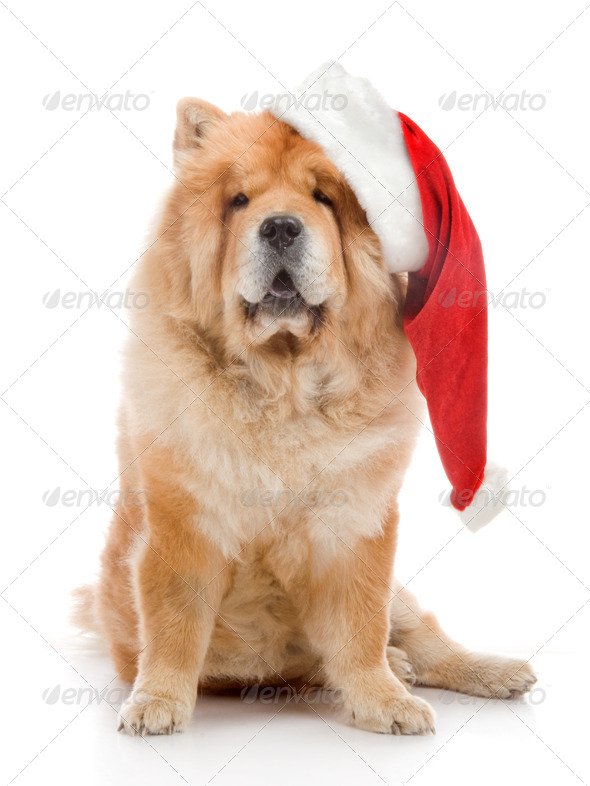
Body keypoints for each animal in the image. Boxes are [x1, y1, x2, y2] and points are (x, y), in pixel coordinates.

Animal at [74, 98, 536, 736]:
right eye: (239, 200)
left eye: (323, 198)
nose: (280, 226)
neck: (283, 383)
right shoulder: (183, 523)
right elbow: (172, 627)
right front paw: (156, 703)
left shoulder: (356, 524)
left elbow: (359, 628)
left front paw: (383, 701)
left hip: (402, 597)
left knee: (426, 639)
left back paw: (486, 671)